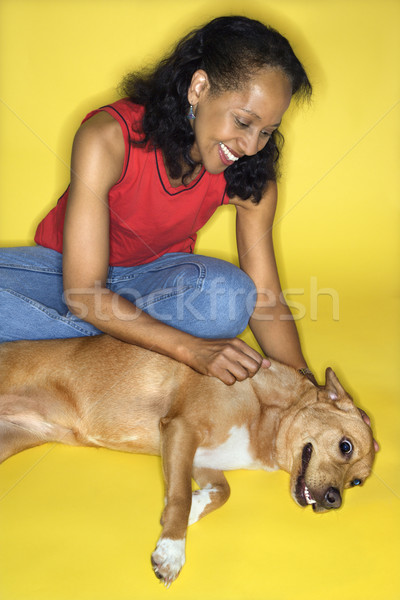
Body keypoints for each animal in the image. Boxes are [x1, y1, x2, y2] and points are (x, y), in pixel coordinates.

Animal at [0, 336, 376, 588]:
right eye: (345, 446)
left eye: (357, 482)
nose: (335, 501)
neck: (265, 410)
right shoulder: (182, 429)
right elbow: (180, 495)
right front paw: (172, 550)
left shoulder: (199, 457)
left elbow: (218, 492)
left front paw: (190, 509)